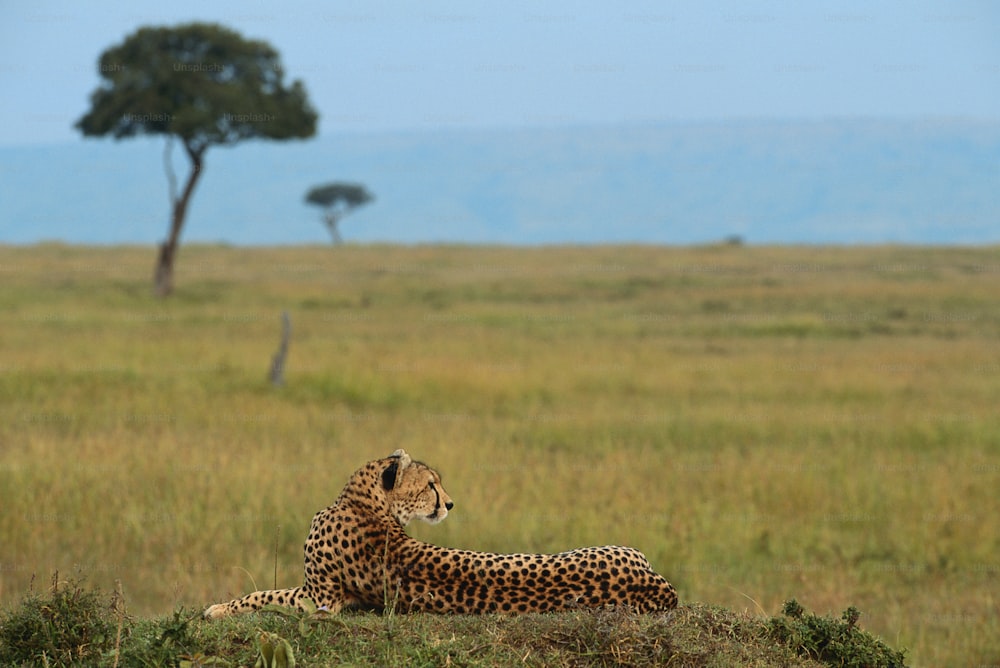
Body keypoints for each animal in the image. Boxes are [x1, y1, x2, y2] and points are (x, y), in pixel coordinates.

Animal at [203, 452, 676, 620]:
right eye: (431, 484)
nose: (449, 504)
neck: (365, 504)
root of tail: (653, 584)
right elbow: (264, 592)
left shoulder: (318, 598)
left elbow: (262, 594)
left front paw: (218, 608)